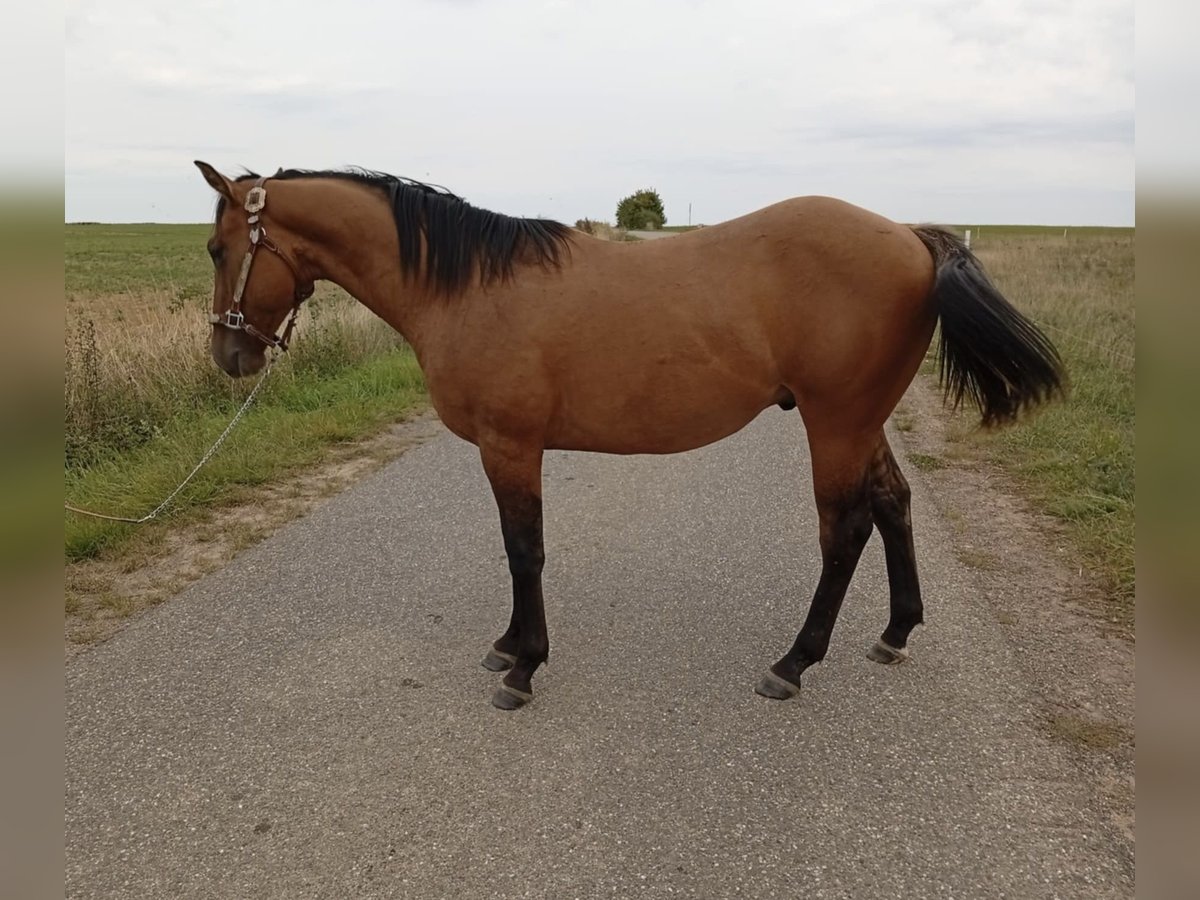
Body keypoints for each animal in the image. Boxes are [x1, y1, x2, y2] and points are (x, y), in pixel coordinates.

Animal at [194, 161, 1064, 710]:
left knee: (845, 531)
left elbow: (524, 551)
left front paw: (523, 668)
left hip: (837, 421)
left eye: (216, 247)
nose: (229, 355)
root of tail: (910, 236)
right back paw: (894, 631)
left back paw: (793, 663)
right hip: (861, 420)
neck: (466, 287)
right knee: (894, 502)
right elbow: (517, 551)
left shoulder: (511, 446)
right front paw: (509, 645)